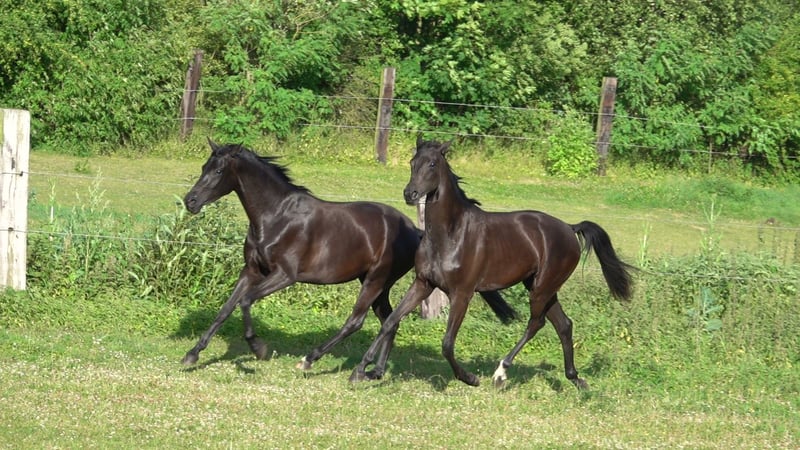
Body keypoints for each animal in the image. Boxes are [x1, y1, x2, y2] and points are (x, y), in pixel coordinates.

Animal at [180, 139, 518, 369]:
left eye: (219, 170)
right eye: (203, 167)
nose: (190, 200)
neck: (275, 216)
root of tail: (414, 230)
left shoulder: (284, 275)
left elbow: (246, 302)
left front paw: (258, 348)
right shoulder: (251, 270)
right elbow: (226, 308)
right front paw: (192, 354)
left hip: (375, 280)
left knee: (357, 320)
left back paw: (312, 359)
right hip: (377, 284)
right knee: (388, 319)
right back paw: (375, 370)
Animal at [350, 138, 634, 389]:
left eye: (432, 163)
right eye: (412, 162)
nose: (410, 194)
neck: (451, 234)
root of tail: (569, 228)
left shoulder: (462, 294)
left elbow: (447, 343)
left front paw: (469, 378)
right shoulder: (423, 284)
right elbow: (389, 322)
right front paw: (361, 370)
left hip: (542, 288)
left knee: (536, 323)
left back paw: (501, 373)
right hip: (541, 286)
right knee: (563, 325)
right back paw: (575, 379)